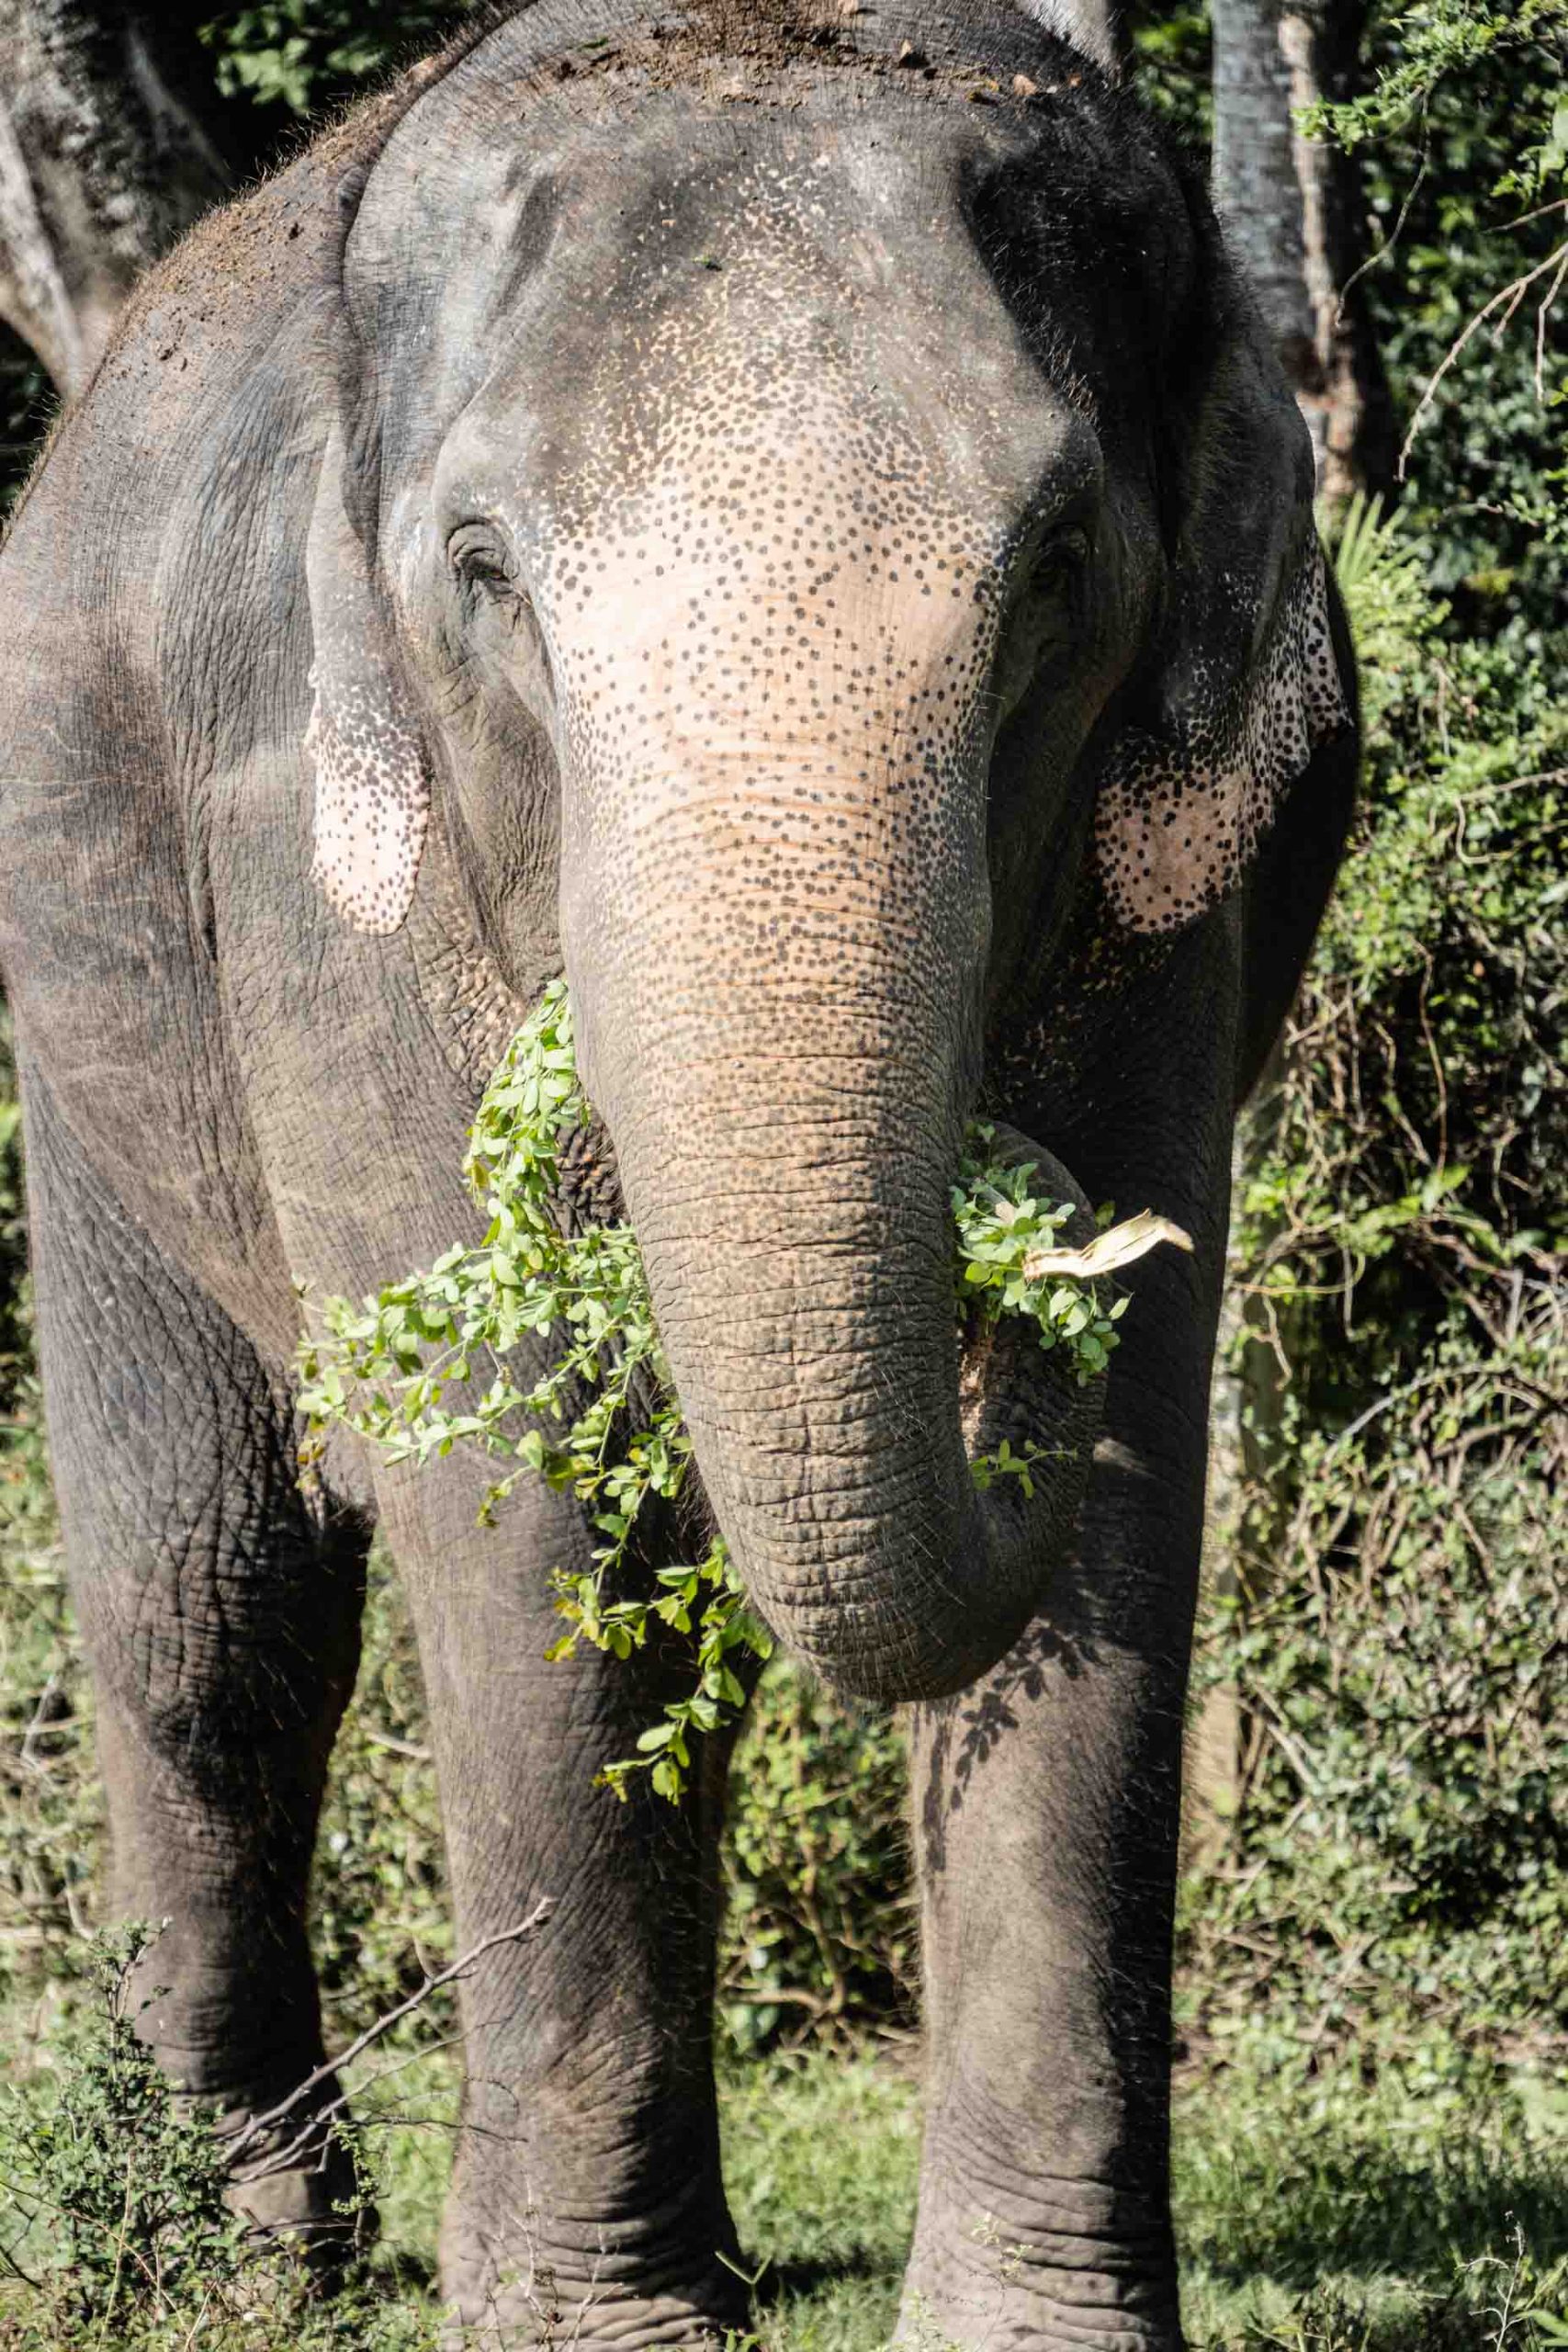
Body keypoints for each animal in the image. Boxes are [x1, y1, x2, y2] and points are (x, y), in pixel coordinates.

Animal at [0, 0, 1354, 2342]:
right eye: (480, 577)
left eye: (1056, 568)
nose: (1019, 1242)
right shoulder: (313, 864)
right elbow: (523, 1482)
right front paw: (577, 2326)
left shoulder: (1170, 869)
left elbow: (1121, 1513)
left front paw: (1025, 2330)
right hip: (85, 1028)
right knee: (207, 1608)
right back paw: (245, 2257)